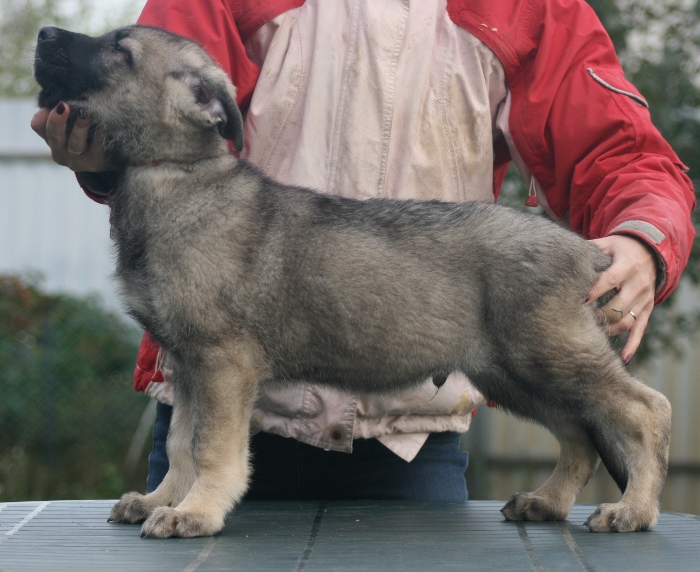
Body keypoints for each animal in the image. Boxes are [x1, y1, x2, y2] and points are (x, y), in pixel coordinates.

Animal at [34, 24, 672, 540]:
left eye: (119, 51)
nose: (43, 33)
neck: (175, 174)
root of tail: (587, 250)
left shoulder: (221, 362)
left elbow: (210, 447)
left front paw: (197, 511)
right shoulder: (187, 363)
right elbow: (177, 443)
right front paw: (162, 500)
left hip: (548, 355)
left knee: (644, 410)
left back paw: (634, 510)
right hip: (513, 373)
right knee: (580, 435)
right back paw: (548, 502)